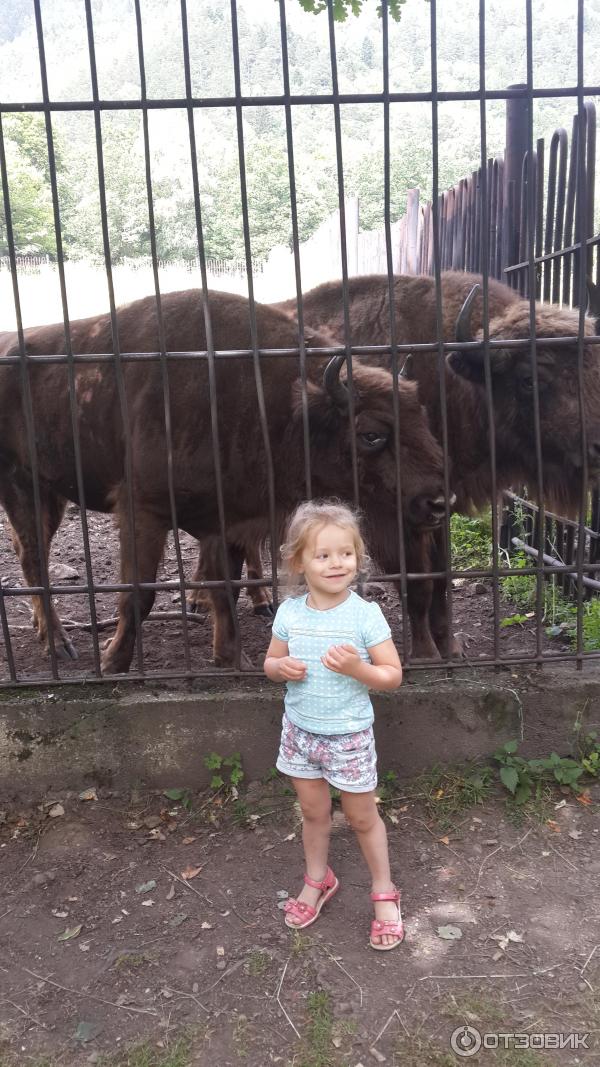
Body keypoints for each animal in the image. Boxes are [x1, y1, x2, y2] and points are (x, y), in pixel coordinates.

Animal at [0, 290, 448, 674]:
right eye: (371, 434)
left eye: (423, 417)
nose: (437, 502)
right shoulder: (143, 510)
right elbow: (139, 594)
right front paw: (113, 664)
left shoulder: (231, 522)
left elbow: (225, 590)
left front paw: (232, 659)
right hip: (20, 486)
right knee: (34, 559)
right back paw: (59, 643)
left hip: (48, 493)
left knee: (30, 555)